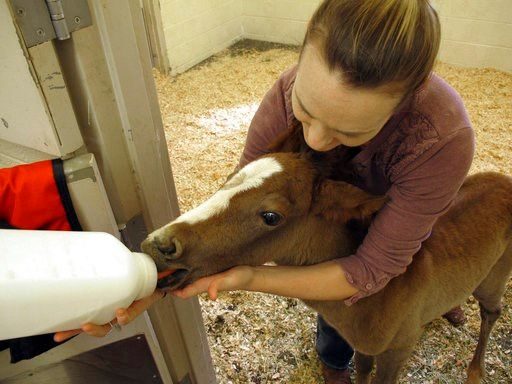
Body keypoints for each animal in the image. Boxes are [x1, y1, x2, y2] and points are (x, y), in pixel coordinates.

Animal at [142, 149, 512, 380]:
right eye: (229, 178)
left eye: (271, 216)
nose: (160, 245)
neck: (375, 298)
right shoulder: (364, 345)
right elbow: (361, 370)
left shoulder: (399, 347)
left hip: (495, 276)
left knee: (491, 311)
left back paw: (475, 371)